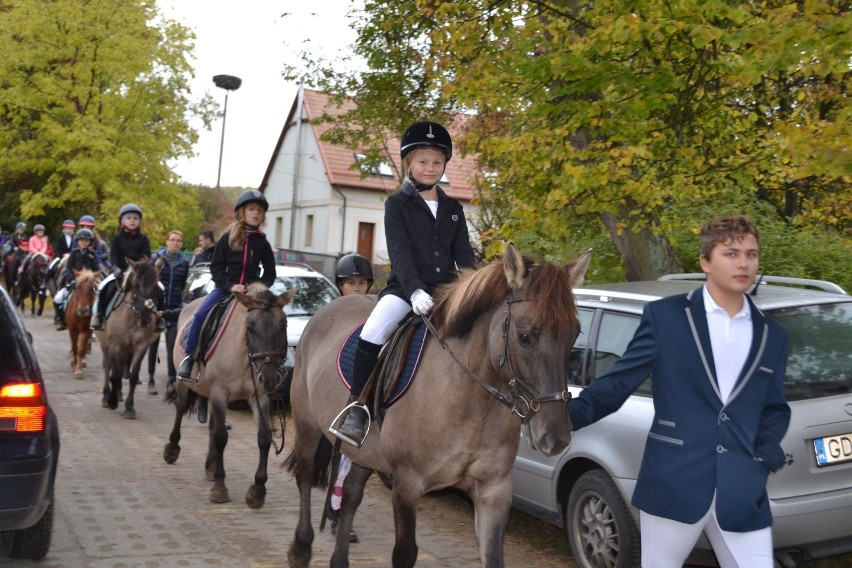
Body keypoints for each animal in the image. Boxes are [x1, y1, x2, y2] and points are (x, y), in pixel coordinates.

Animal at [95, 260, 164, 420]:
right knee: (108, 367)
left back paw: (119, 394)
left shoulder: (141, 347)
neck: (132, 318)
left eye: (155, 286)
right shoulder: (115, 346)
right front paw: (112, 401)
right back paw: (106, 397)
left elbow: (132, 376)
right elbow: (115, 375)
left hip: (127, 349)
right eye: (136, 285)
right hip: (106, 345)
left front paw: (129, 407)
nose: (145, 318)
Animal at [163, 282, 296, 506]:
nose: (270, 379)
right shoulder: (220, 392)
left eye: (283, 326)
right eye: (250, 328)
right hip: (185, 385)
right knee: (181, 409)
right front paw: (219, 487)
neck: (244, 356)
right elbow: (221, 437)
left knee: (212, 423)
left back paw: (210, 466)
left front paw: (257, 490)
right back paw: (172, 450)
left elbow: (264, 437)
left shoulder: (258, 396)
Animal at [286, 244, 592, 568]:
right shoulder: (408, 484)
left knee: (351, 494)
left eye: (574, 334)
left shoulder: (494, 489)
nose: (556, 438)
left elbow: (494, 556)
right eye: (524, 336)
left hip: (365, 452)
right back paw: (300, 548)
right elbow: (405, 553)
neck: (473, 403)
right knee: (305, 475)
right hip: (307, 425)